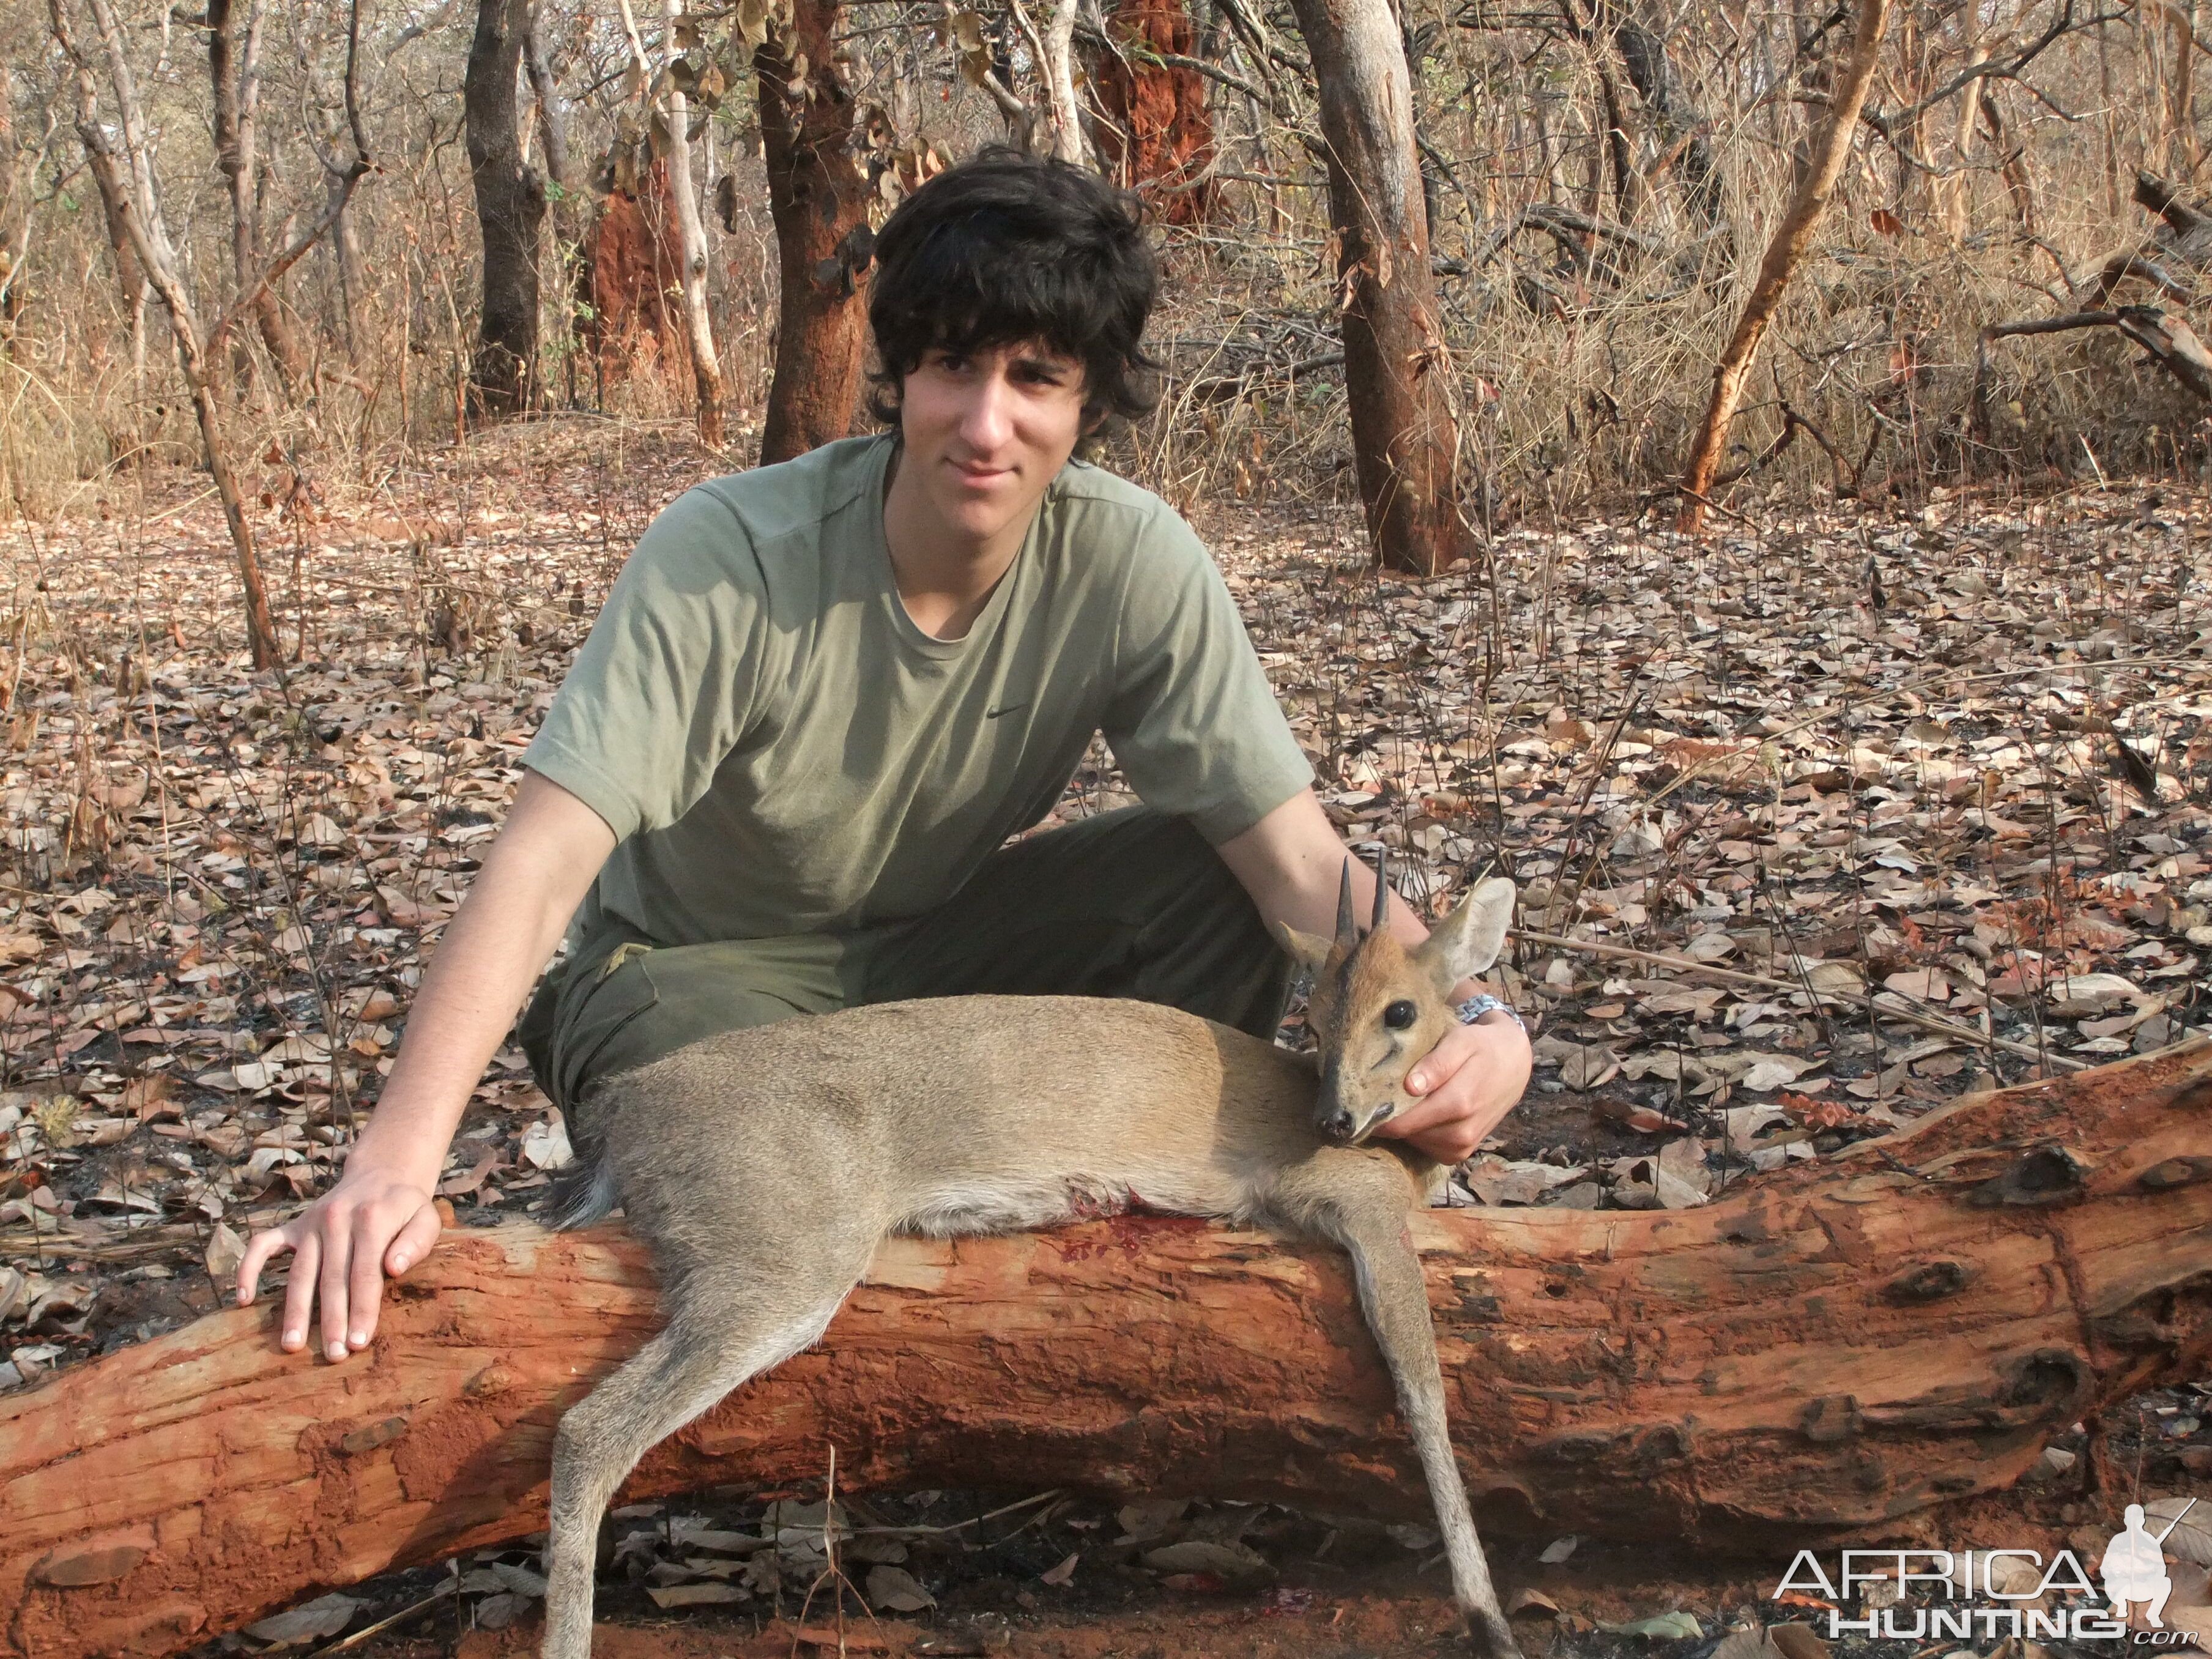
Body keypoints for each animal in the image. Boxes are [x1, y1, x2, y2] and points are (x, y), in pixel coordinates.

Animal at [544, 863, 1531, 1654]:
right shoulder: (1346, 1201)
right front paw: (1488, 1617)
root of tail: (620, 1111)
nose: (1334, 1118)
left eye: (1401, 1011)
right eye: (1315, 1017)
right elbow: (1422, 1382)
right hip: (777, 1255)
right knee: (590, 1431)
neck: (1404, 1156)